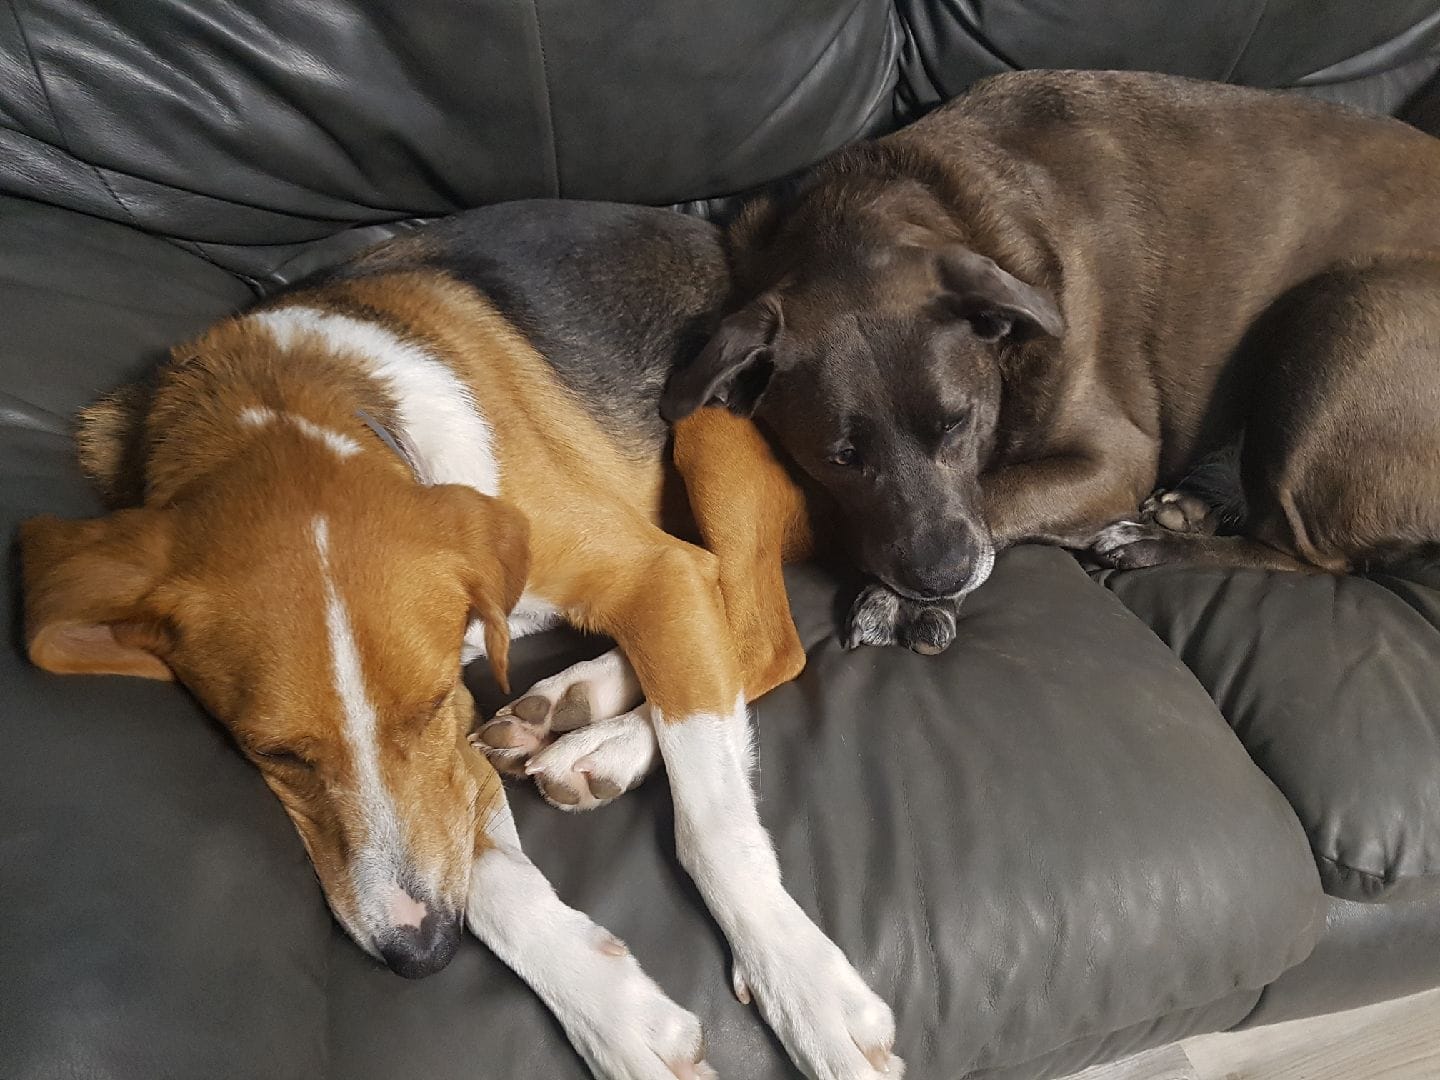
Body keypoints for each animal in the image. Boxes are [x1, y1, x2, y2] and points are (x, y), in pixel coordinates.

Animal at [19, 203, 898, 1080]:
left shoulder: (651, 574)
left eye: (430, 701)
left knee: (760, 638)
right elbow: (484, 872)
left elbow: (712, 829)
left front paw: (805, 989)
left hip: (708, 424)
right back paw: (574, 709)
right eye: (276, 756)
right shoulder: (460, 735)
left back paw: (603, 740)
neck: (287, 403)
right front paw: (614, 1013)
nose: (421, 953)